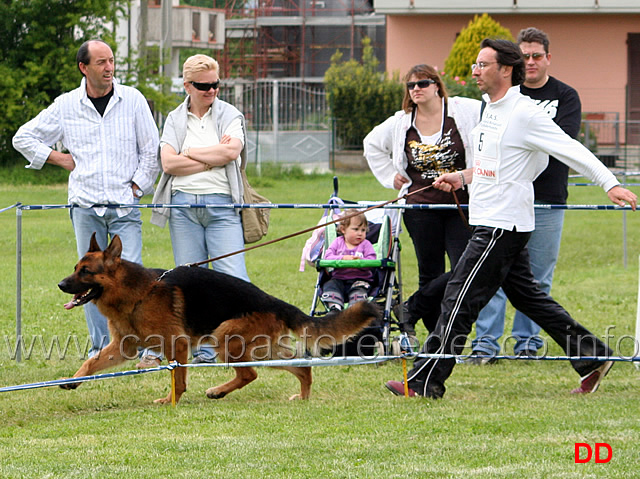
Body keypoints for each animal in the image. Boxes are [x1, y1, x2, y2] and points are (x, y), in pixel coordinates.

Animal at [57, 235, 380, 404]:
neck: (137, 293)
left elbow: (178, 379)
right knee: (299, 365)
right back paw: (302, 396)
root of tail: (273, 301)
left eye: (86, 272)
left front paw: (171, 401)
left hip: (225, 337)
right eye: (75, 268)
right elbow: (91, 363)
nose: (60, 284)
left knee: (250, 375)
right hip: (261, 349)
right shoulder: (123, 347)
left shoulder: (177, 345)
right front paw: (73, 380)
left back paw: (219, 390)